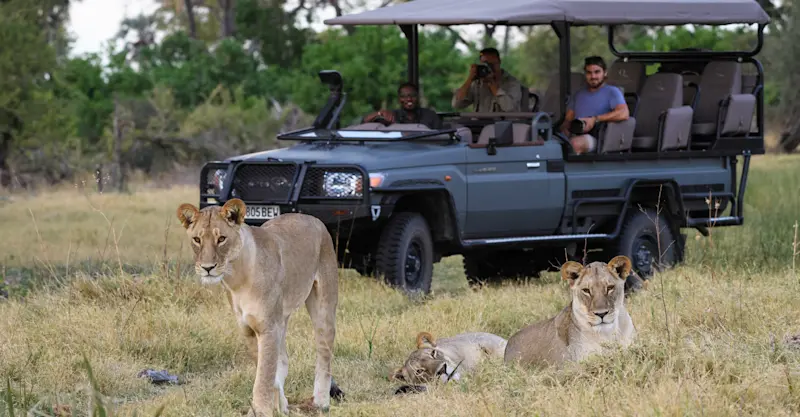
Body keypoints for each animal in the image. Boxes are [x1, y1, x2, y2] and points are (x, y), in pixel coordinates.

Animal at [176, 198, 342, 417]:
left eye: (221, 239)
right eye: (197, 239)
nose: (207, 268)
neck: (236, 279)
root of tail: (313, 218)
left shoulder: (268, 328)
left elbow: (263, 376)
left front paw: (261, 410)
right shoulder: (248, 328)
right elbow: (269, 371)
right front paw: (275, 407)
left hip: (323, 304)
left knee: (324, 350)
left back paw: (321, 402)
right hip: (282, 317)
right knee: (283, 360)